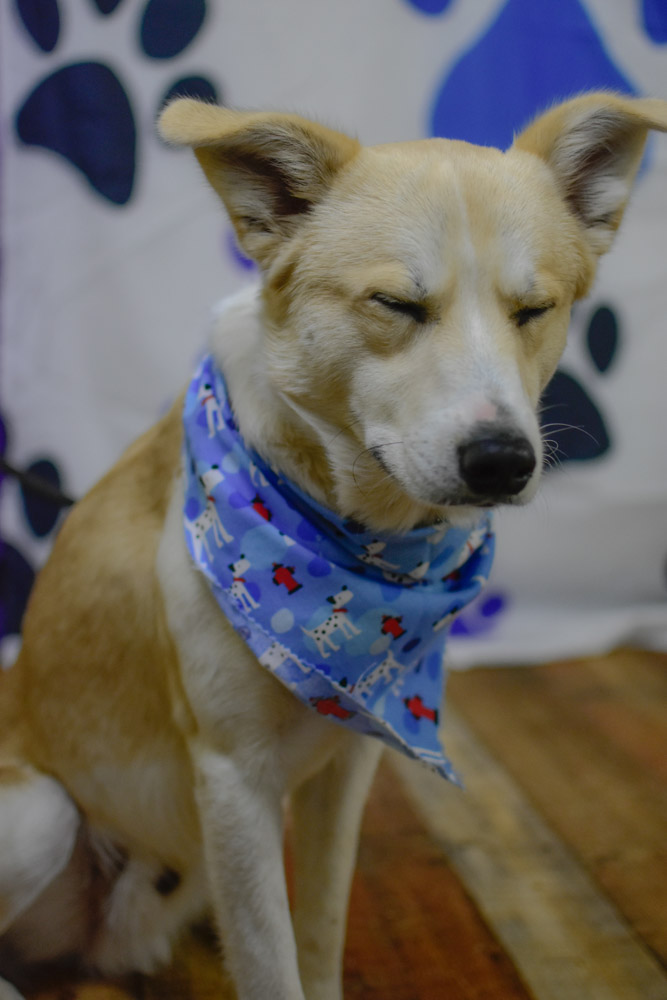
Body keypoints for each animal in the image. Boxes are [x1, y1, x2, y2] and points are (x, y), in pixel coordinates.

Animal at [1, 92, 666, 1000]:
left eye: (534, 310)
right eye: (395, 305)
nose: (502, 461)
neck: (358, 550)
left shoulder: (349, 764)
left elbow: (316, 932)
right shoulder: (234, 781)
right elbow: (271, 962)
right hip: (41, 814)